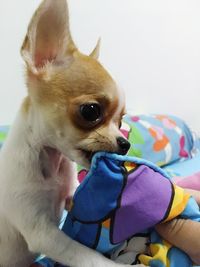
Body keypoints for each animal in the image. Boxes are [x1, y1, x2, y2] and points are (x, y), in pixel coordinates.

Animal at [0, 0, 145, 267]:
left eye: (121, 120)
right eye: (91, 111)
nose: (125, 143)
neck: (50, 162)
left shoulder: (68, 197)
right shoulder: (43, 233)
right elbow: (87, 256)